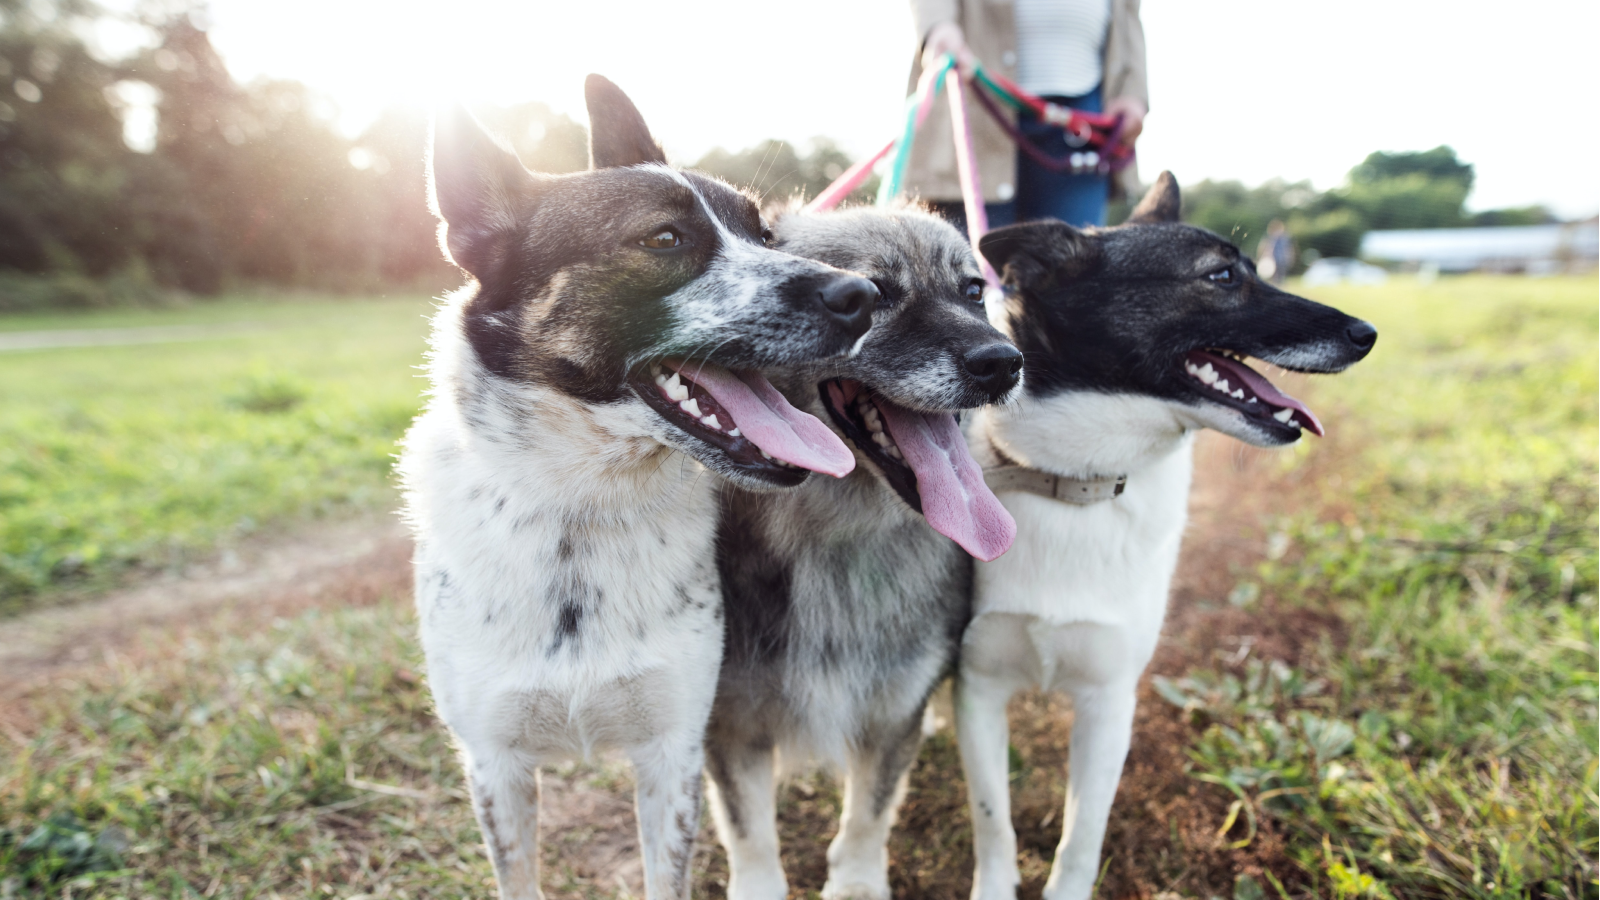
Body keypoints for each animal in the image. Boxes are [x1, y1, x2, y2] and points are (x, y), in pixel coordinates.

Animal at [393, 76, 883, 896]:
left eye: (766, 236)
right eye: (663, 240)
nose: (863, 294)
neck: (582, 512)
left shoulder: (672, 752)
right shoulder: (496, 768)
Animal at [704, 203, 1024, 896]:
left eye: (973, 291)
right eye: (870, 295)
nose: (1003, 363)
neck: (833, 540)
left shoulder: (892, 713)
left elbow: (868, 815)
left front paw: (854, 880)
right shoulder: (731, 725)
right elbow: (751, 837)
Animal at [947, 173, 1376, 896]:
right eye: (1222, 276)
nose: (1367, 332)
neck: (1075, 482)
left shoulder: (1108, 704)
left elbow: (1080, 838)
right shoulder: (977, 689)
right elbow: (992, 822)